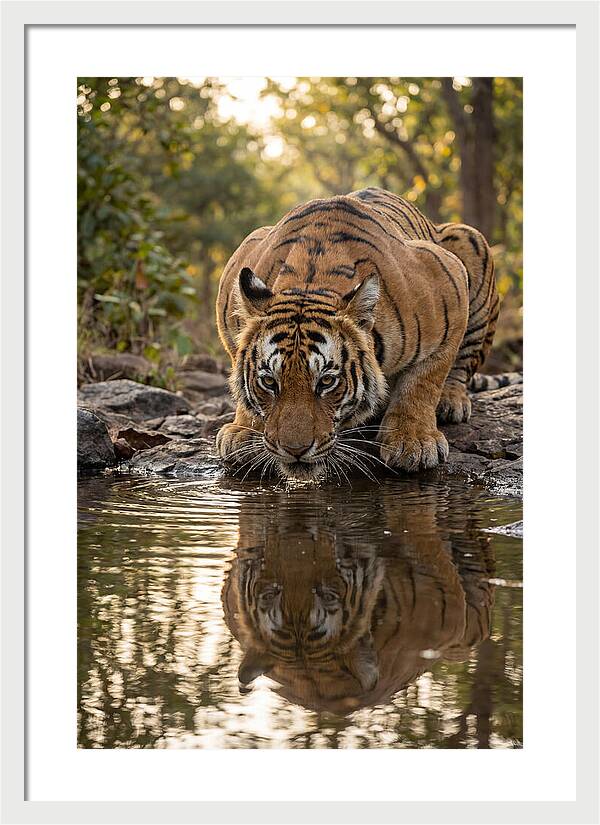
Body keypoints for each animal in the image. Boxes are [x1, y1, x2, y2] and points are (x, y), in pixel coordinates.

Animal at [216, 187, 503, 480]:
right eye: (269, 382)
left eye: (327, 381)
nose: (295, 450)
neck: (310, 282)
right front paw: (243, 431)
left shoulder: (449, 280)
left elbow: (423, 380)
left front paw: (413, 441)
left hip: (470, 239)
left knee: (463, 364)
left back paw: (450, 401)